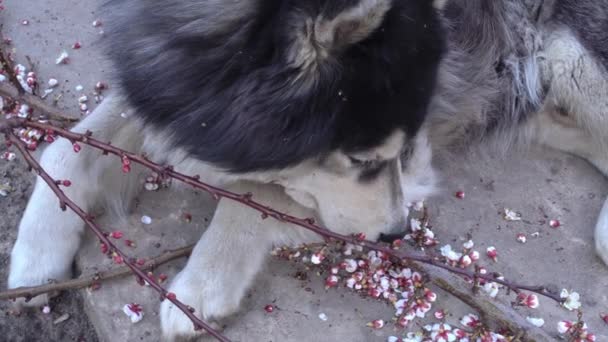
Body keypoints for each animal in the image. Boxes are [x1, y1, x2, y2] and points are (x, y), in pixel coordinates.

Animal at [8, 0, 608, 340]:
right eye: (363, 159)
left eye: (391, 155)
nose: (398, 234)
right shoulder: (172, 89)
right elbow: (70, 147)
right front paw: (36, 252)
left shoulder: (416, 157)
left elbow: (259, 196)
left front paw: (199, 287)